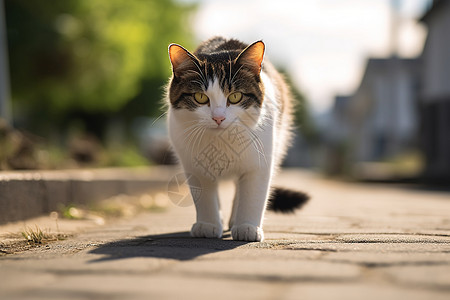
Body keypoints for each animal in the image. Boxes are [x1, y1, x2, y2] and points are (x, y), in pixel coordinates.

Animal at [166, 37, 310, 241]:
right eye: (200, 97)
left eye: (235, 97)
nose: (218, 118)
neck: (221, 140)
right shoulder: (193, 164)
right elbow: (205, 197)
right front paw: (208, 225)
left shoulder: (260, 160)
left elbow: (252, 195)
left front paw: (247, 227)